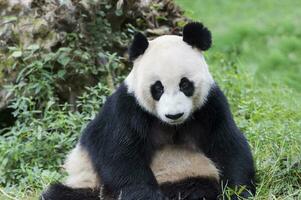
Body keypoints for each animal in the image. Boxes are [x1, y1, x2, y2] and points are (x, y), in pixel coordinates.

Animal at [41, 22, 254, 200]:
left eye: (185, 84)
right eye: (157, 88)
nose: (174, 115)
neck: (171, 126)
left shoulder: (211, 106)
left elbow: (228, 145)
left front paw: (238, 193)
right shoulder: (127, 109)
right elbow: (120, 156)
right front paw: (147, 196)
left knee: (198, 185)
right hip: (88, 181)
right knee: (62, 194)